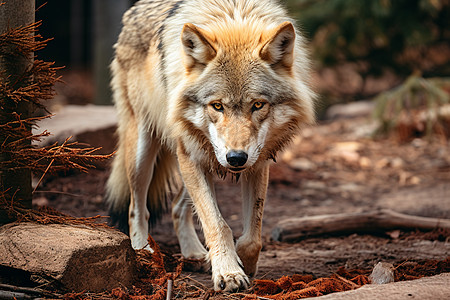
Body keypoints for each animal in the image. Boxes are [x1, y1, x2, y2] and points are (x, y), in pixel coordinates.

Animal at [107, 0, 314, 292]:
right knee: (137, 207)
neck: (234, 20)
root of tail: (132, 12)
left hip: (203, 157)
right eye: (217, 105)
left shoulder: (257, 163)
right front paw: (229, 272)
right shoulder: (191, 157)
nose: (236, 158)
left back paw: (194, 254)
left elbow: (253, 237)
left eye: (257, 105)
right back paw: (143, 251)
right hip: (146, 151)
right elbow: (218, 224)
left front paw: (243, 264)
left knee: (177, 207)